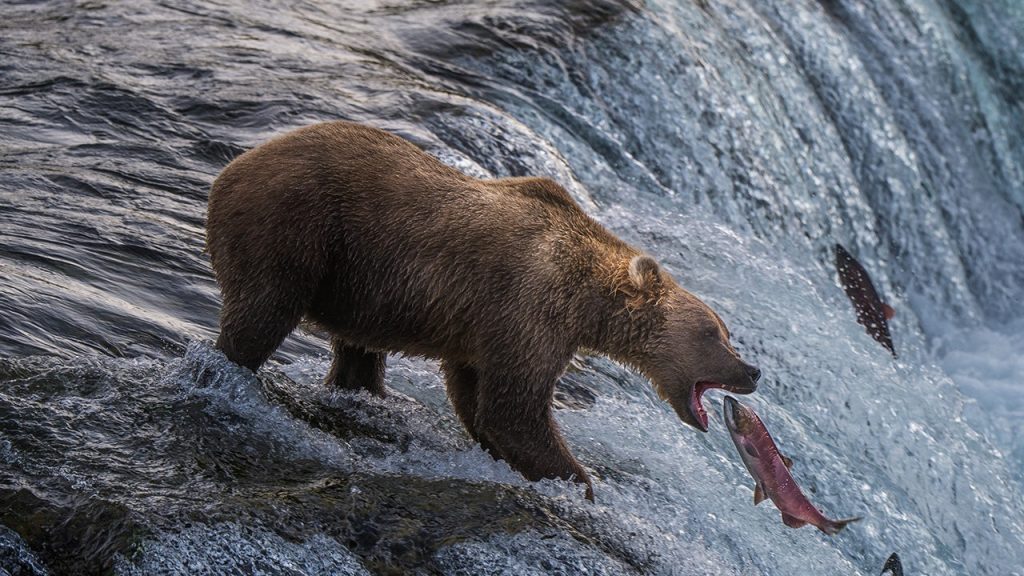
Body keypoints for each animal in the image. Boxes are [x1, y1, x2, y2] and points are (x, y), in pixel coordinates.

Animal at [206, 121, 761, 499]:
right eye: (715, 333)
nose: (753, 370)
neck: (588, 302)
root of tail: (232, 167)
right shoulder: (528, 307)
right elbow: (514, 408)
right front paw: (581, 482)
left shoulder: (488, 326)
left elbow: (477, 396)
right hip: (295, 227)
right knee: (262, 313)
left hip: (355, 282)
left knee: (356, 350)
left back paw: (361, 390)